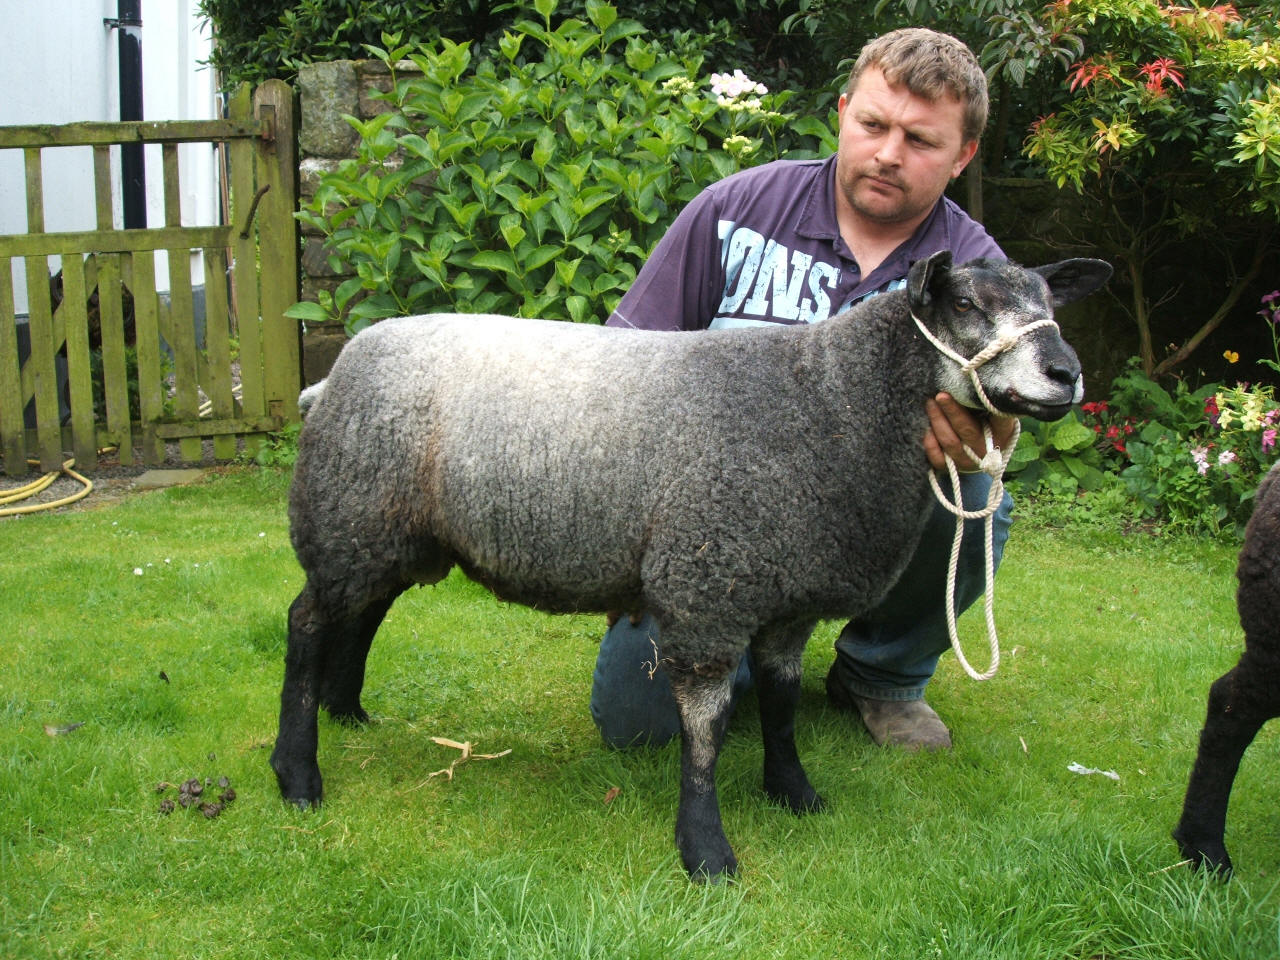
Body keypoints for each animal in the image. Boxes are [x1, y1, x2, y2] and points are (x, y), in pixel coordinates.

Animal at [270, 251, 1112, 880]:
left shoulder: (786, 600)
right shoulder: (708, 588)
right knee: (308, 622)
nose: (1065, 373)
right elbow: (704, 733)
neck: (832, 405)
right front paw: (706, 850)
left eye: (1048, 301)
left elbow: (779, 701)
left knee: (364, 610)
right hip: (349, 507)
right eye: (966, 303)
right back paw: (298, 772)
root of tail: (332, 373)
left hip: (390, 526)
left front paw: (794, 792)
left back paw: (347, 710)